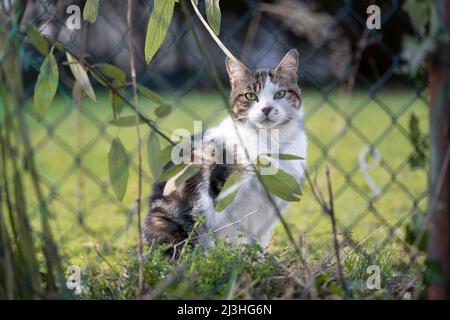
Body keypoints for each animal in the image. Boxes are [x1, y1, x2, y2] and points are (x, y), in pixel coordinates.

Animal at [143, 48, 306, 252]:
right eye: (250, 96)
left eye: (280, 94)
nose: (267, 108)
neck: (270, 141)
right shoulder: (224, 198)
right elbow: (233, 235)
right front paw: (238, 258)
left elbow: (259, 239)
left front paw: (259, 258)